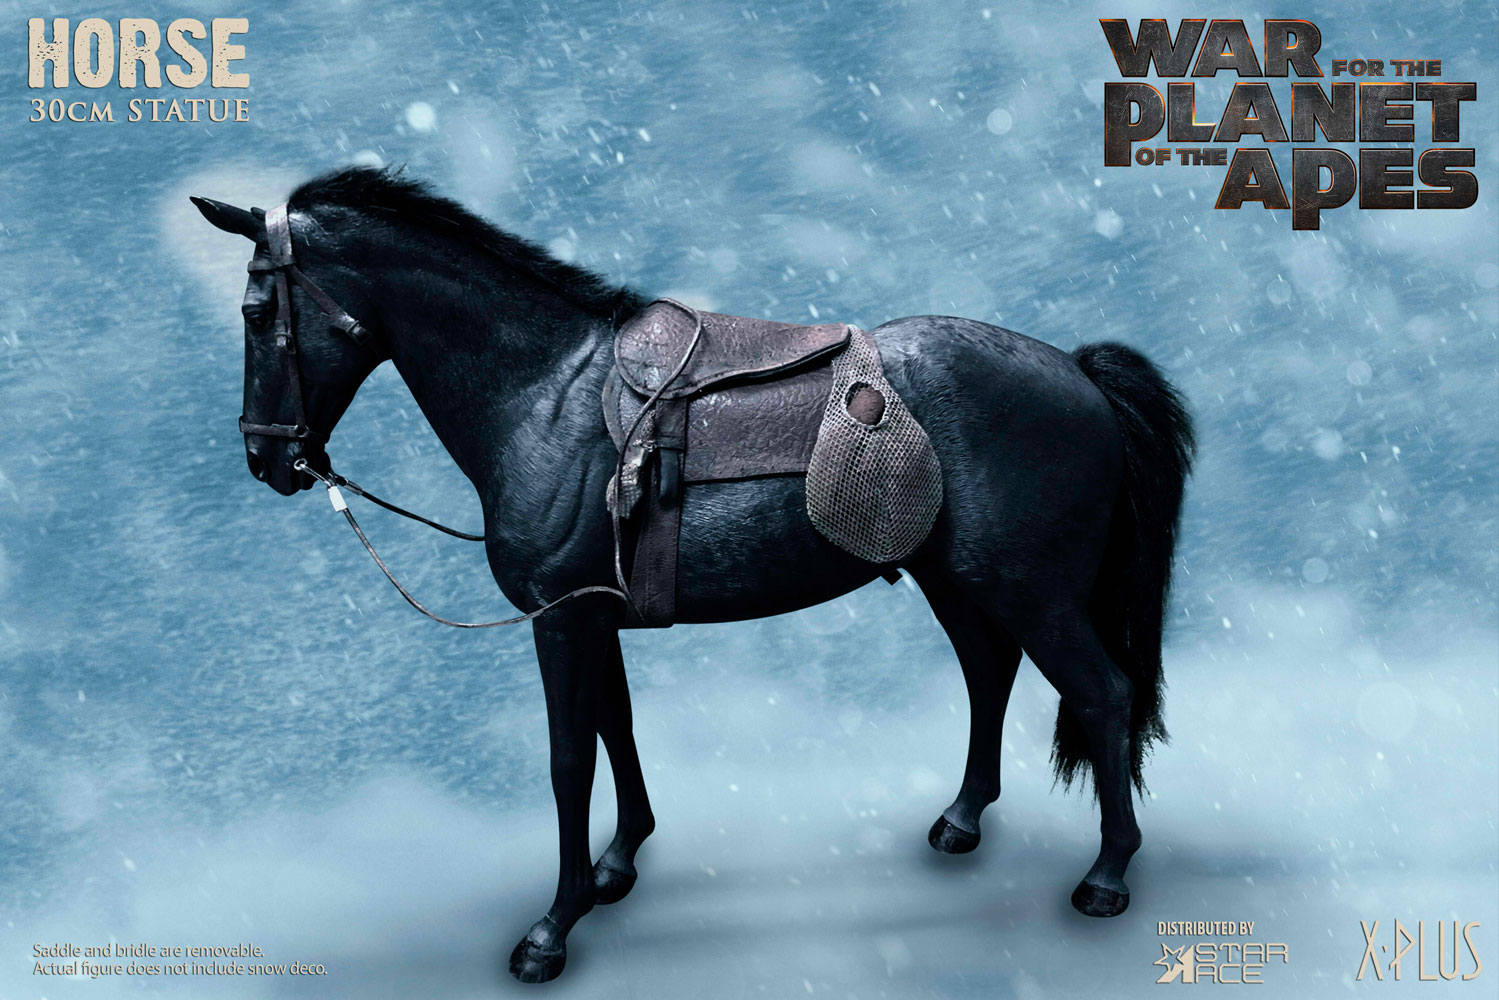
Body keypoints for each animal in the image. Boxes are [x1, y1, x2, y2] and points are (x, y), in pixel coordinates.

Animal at [192, 166, 1194, 984]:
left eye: (255, 314)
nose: (266, 459)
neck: (543, 398)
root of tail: (1077, 371)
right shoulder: (595, 615)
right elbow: (617, 731)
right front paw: (618, 864)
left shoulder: (561, 623)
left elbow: (567, 761)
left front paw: (551, 929)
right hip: (954, 579)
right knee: (990, 675)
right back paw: (962, 820)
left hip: (1032, 591)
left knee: (1101, 695)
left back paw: (1107, 874)